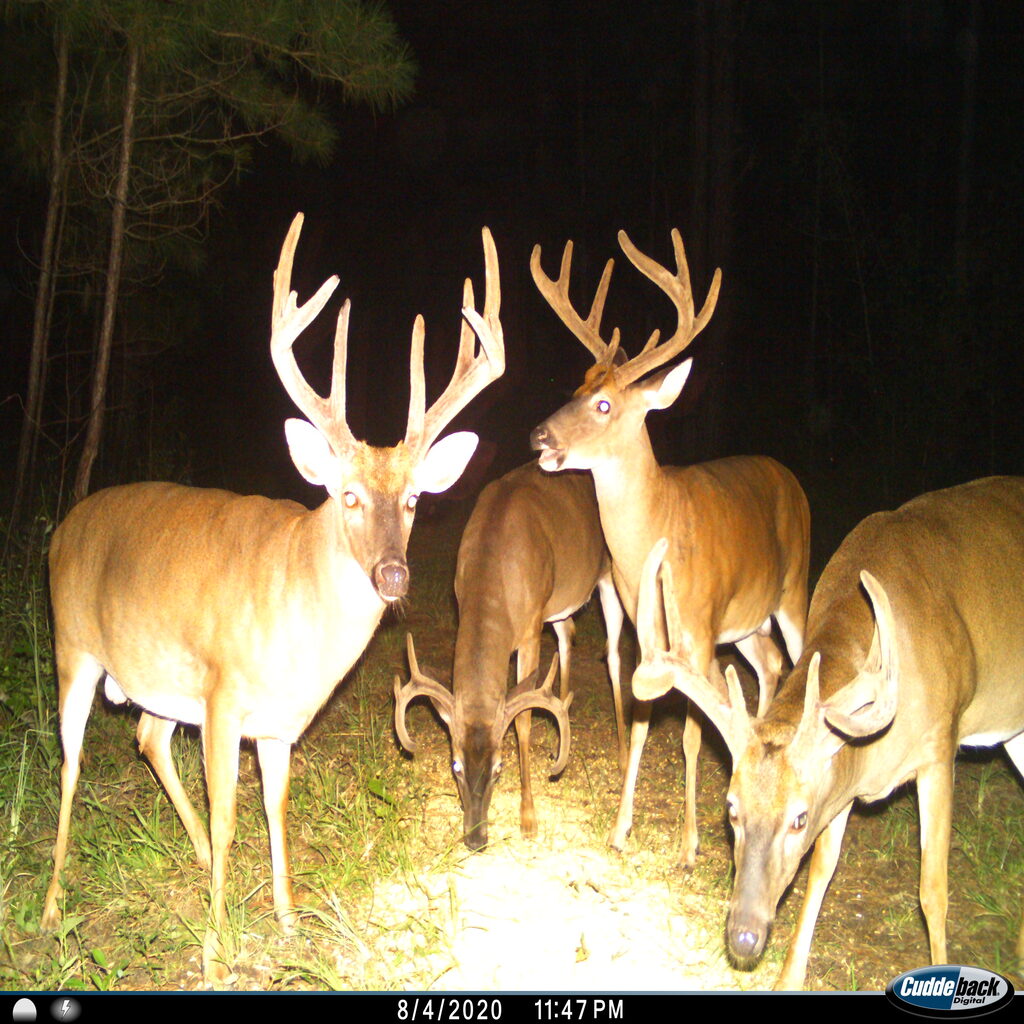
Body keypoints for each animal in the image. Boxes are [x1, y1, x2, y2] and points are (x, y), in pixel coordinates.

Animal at [41, 213, 505, 985]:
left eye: (414, 500)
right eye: (347, 496)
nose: (393, 576)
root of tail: (63, 526)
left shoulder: (281, 723)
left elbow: (275, 807)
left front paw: (287, 921)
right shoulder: (225, 695)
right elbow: (232, 814)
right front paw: (212, 947)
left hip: (159, 680)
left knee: (144, 736)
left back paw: (195, 858)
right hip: (74, 649)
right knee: (71, 763)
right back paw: (52, 909)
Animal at [394, 461, 625, 850]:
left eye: (499, 767)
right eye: (455, 765)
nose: (476, 838)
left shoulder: (531, 628)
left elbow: (523, 721)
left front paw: (528, 818)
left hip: (611, 576)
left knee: (616, 657)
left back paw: (624, 758)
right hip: (560, 605)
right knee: (568, 636)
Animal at [528, 228, 810, 869]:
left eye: (604, 405)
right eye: (577, 386)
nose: (539, 436)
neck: (653, 528)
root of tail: (788, 474)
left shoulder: (697, 629)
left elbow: (689, 733)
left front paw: (689, 845)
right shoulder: (647, 627)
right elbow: (639, 722)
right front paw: (619, 829)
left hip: (793, 591)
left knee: (797, 660)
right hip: (746, 622)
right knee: (770, 665)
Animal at [631, 476, 1024, 990]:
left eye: (799, 819)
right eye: (731, 808)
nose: (743, 938)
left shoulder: (941, 746)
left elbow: (933, 890)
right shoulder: (843, 781)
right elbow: (821, 869)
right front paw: (787, 978)